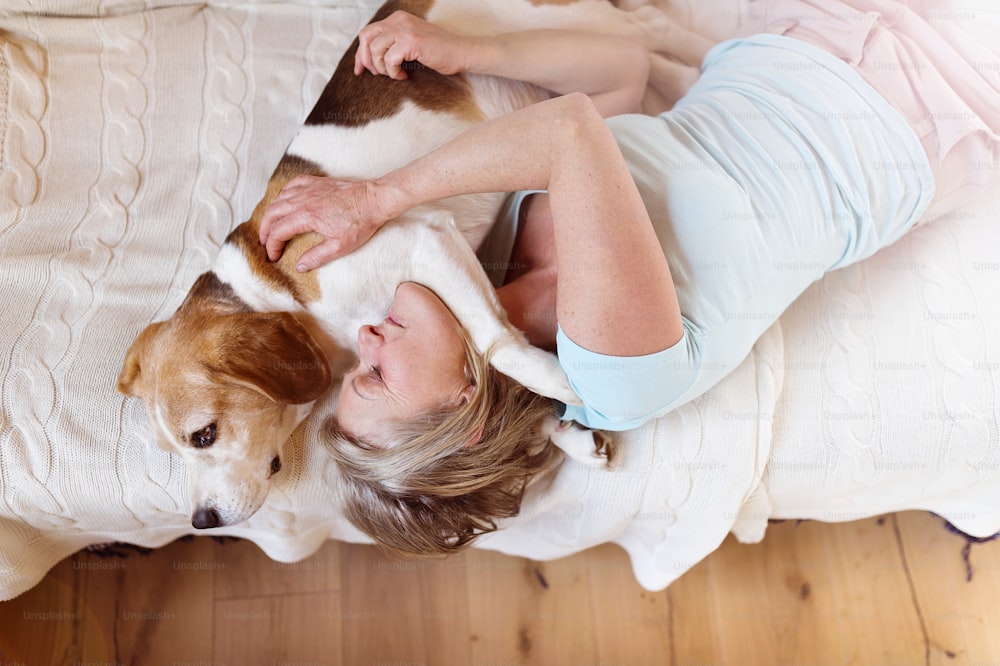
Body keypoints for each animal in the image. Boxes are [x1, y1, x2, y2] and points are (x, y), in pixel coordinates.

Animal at [117, 0, 692, 528]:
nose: (201, 520)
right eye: (174, 451)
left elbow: (498, 343)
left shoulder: (425, 240)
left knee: (655, 33)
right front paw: (566, 434)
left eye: (204, 434)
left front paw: (560, 381)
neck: (275, 291)